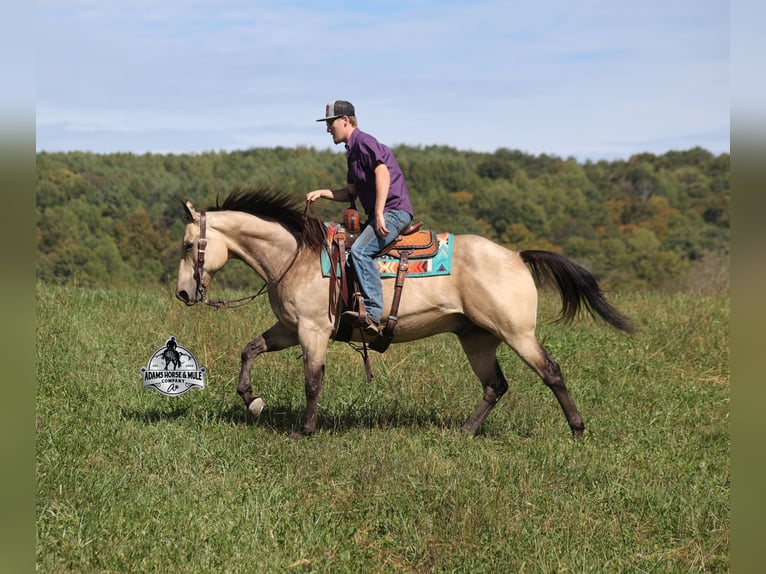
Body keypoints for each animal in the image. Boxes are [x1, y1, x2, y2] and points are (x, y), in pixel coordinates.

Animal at [175, 187, 634, 439]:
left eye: (187, 245)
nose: (182, 292)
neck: (296, 256)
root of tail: (517, 256)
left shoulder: (313, 330)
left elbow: (312, 381)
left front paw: (304, 430)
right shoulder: (289, 327)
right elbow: (250, 350)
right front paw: (252, 401)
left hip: (516, 333)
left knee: (550, 372)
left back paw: (577, 429)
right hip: (477, 337)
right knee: (495, 385)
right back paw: (465, 432)